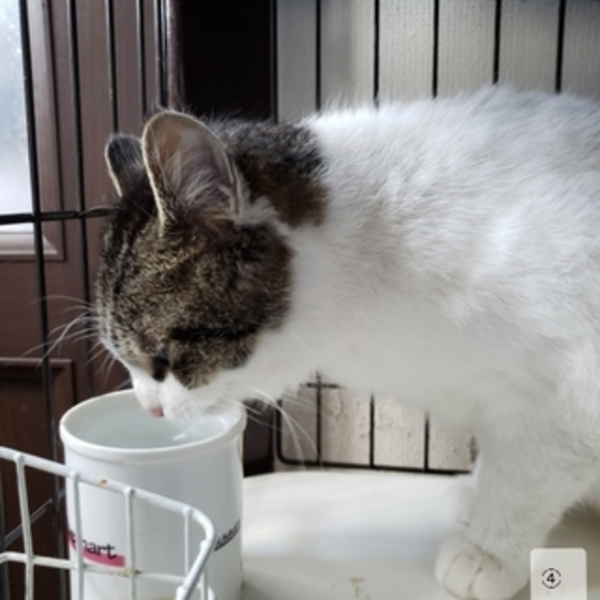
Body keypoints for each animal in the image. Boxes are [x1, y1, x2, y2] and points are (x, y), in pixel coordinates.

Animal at [97, 86, 600, 600]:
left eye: (161, 358)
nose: (151, 408)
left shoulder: (569, 395)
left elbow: (525, 478)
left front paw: (490, 549)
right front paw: (478, 493)